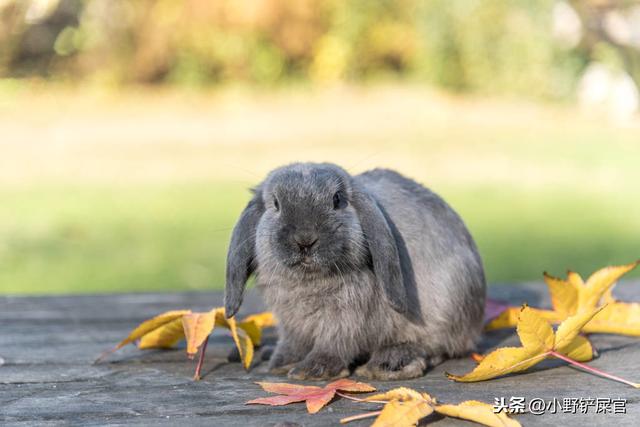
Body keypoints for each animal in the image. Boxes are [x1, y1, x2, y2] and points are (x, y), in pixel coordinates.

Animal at [225, 164, 484, 382]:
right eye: (276, 204)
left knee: (437, 345)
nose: (305, 240)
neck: (309, 279)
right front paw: (282, 363)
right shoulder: (291, 323)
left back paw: (388, 363)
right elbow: (292, 342)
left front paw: (311, 371)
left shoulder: (347, 316)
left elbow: (334, 343)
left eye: (337, 199)